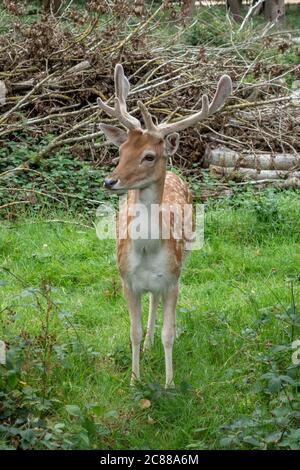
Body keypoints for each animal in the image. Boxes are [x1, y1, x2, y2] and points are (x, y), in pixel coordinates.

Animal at [98, 64, 232, 388]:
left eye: (149, 156)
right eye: (121, 152)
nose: (110, 181)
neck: (147, 251)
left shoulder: (173, 280)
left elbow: (169, 334)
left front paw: (170, 384)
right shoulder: (126, 281)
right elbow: (132, 333)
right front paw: (134, 381)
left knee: (156, 301)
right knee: (151, 303)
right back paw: (147, 346)